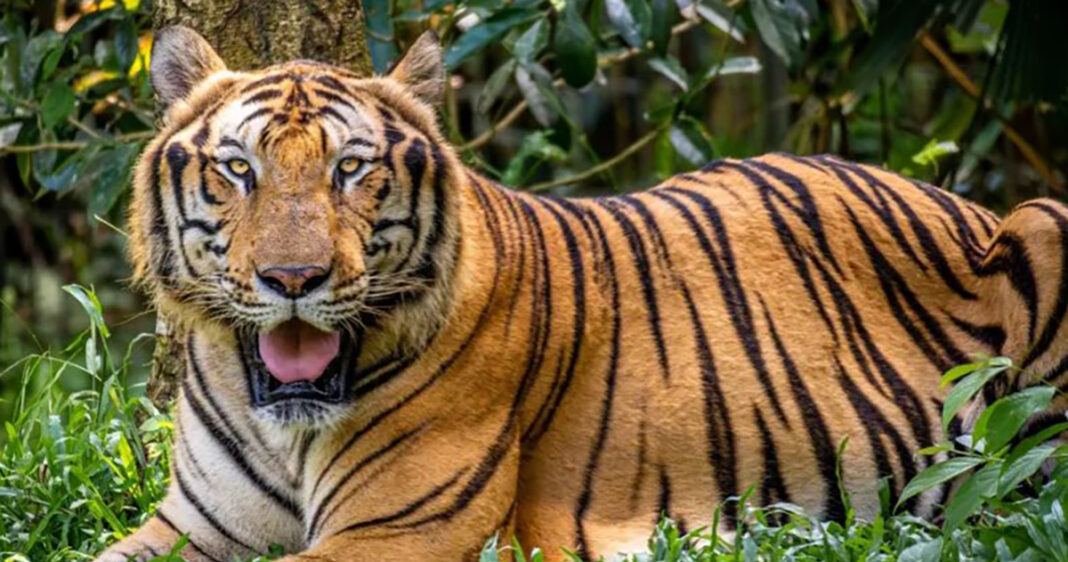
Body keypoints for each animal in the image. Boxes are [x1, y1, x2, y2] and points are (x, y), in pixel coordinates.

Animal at [97, 25, 1068, 562]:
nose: (294, 280)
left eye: (351, 171)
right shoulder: (190, 528)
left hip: (1047, 223)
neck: (277, 416)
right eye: (239, 170)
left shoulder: (400, 531)